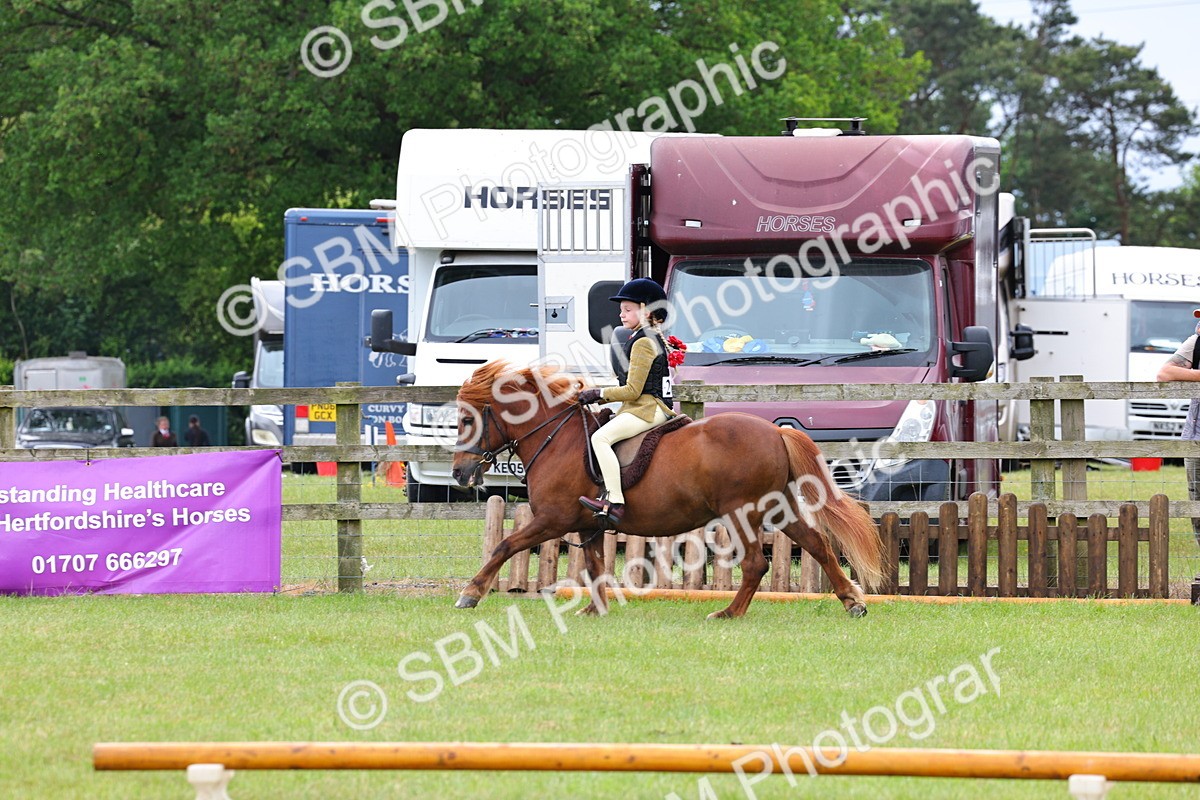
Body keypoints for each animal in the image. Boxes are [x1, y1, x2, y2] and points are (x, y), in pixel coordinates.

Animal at [450, 360, 885, 618]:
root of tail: (776, 432)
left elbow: (504, 546)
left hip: (741, 512)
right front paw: (595, 611)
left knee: (755, 564)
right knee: (817, 545)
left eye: (466, 420)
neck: (558, 439)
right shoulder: (587, 523)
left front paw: (470, 593)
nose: (458, 473)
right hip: (778, 509)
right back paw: (853, 602)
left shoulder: (551, 519)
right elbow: (595, 566)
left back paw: (728, 613)